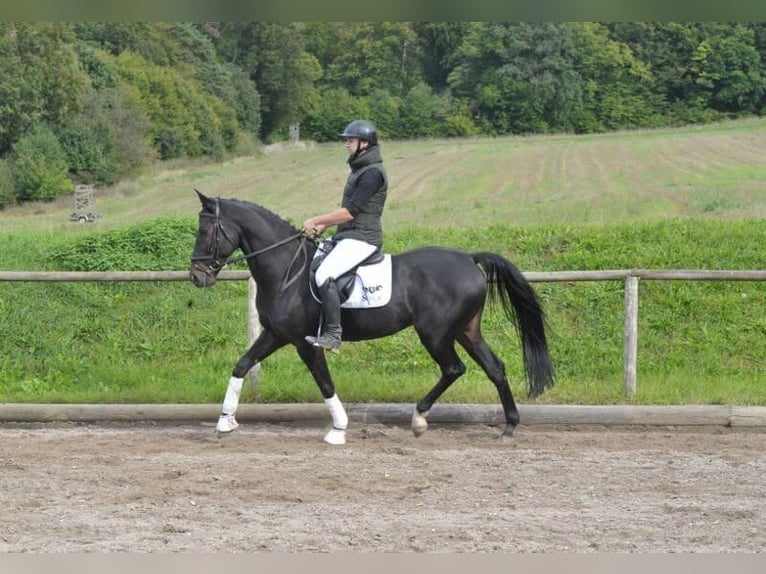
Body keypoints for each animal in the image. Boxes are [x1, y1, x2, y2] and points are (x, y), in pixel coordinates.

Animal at [189, 192, 556, 446]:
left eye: (205, 231)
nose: (196, 276)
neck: (285, 270)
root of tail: (469, 258)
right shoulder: (276, 335)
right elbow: (241, 365)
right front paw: (225, 422)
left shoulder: (305, 343)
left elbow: (325, 383)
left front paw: (338, 430)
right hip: (466, 330)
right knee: (494, 367)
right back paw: (509, 426)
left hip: (435, 334)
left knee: (454, 368)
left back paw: (419, 419)